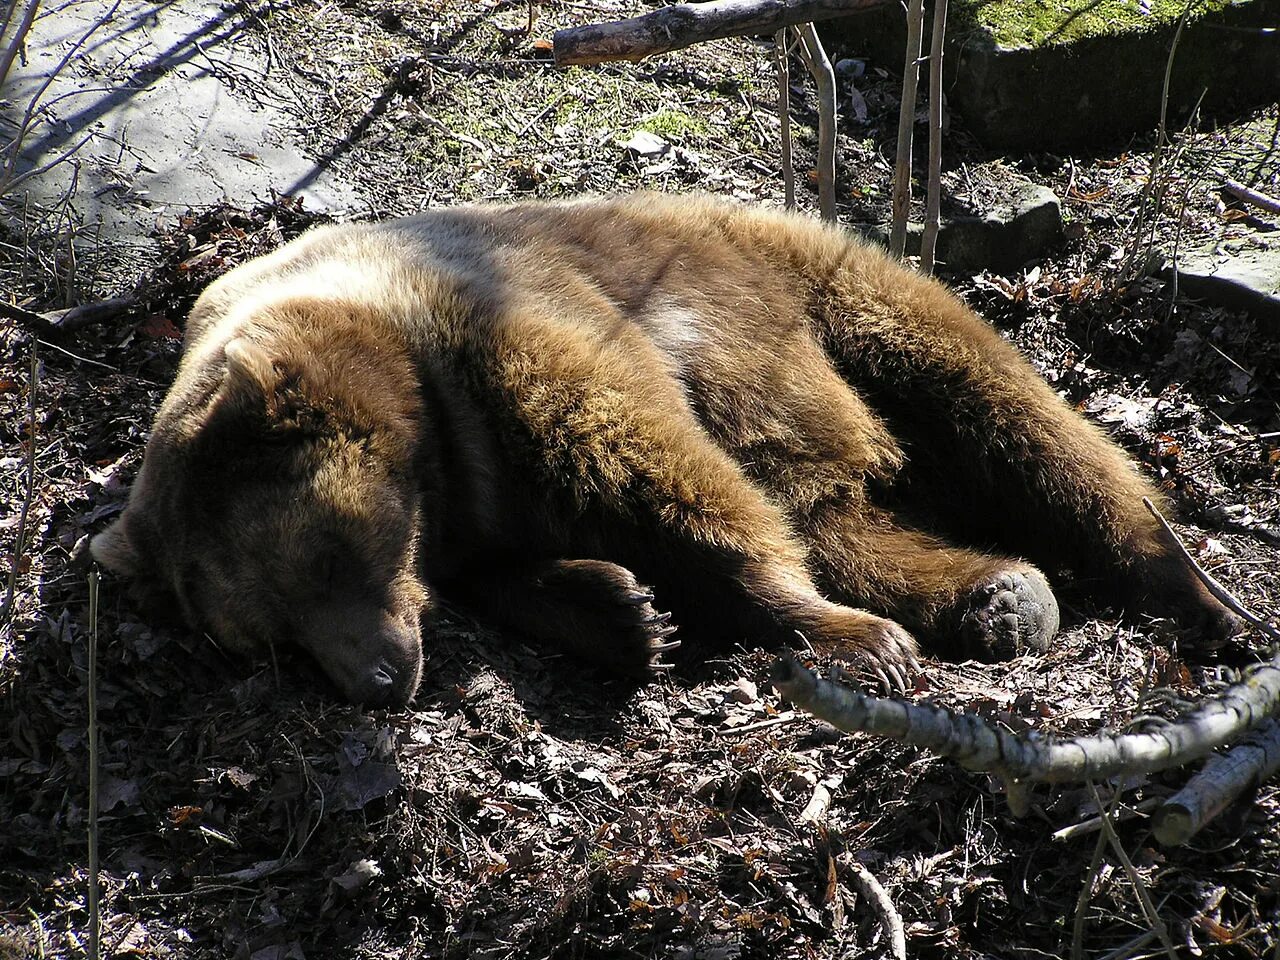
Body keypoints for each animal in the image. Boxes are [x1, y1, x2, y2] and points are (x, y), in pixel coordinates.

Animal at [90, 193, 1239, 706]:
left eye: (330, 555)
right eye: (266, 638)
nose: (379, 675)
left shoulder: (512, 335)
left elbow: (656, 468)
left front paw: (838, 633)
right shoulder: (465, 515)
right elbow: (527, 569)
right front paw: (625, 611)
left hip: (813, 292)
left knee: (1008, 416)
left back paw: (1193, 591)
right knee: (844, 514)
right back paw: (997, 595)